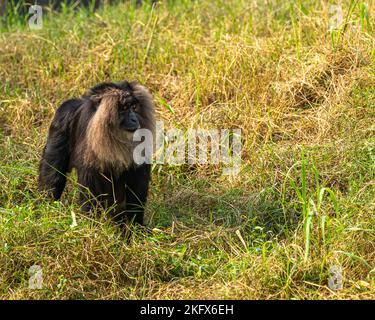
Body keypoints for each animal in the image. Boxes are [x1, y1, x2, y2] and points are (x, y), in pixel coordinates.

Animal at [38, 81, 156, 226]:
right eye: (123, 108)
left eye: (134, 107)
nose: (135, 119)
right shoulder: (63, 115)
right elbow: (55, 170)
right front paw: (91, 223)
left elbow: (138, 182)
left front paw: (135, 226)